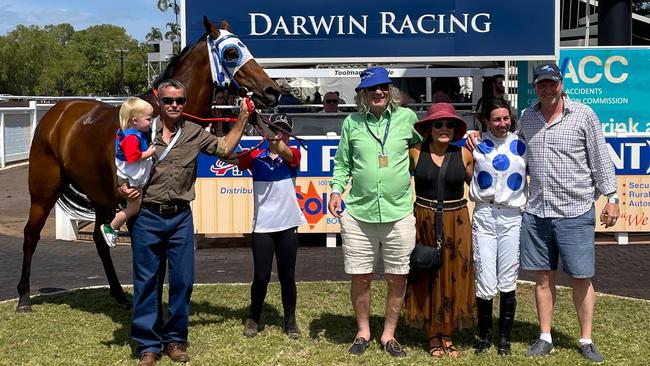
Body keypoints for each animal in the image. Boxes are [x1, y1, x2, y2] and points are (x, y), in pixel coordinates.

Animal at [16, 15, 280, 312]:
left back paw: (119, 295)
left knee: (99, 239)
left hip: (99, 194)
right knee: (31, 234)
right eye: (232, 53)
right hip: (44, 191)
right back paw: (23, 298)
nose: (272, 91)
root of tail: (56, 113)